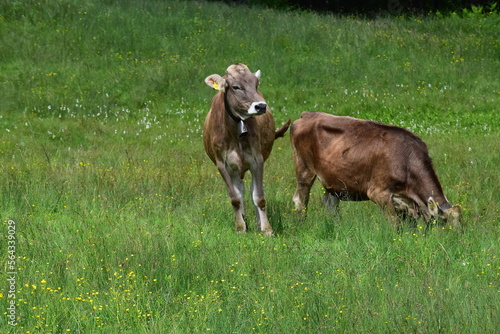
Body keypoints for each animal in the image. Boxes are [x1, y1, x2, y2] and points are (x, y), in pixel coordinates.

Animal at [202, 63, 290, 235]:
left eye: (256, 85)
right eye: (236, 87)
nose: (260, 106)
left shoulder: (257, 160)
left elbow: (259, 196)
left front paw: (266, 229)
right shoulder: (222, 164)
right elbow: (235, 198)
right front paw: (240, 227)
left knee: (250, 190)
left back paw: (257, 223)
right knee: (240, 191)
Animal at [292, 111, 460, 230]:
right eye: (444, 223)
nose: (455, 242)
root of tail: (309, 114)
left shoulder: (404, 202)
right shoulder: (379, 194)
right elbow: (395, 224)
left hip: (333, 180)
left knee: (330, 203)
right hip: (304, 168)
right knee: (300, 199)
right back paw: (302, 224)